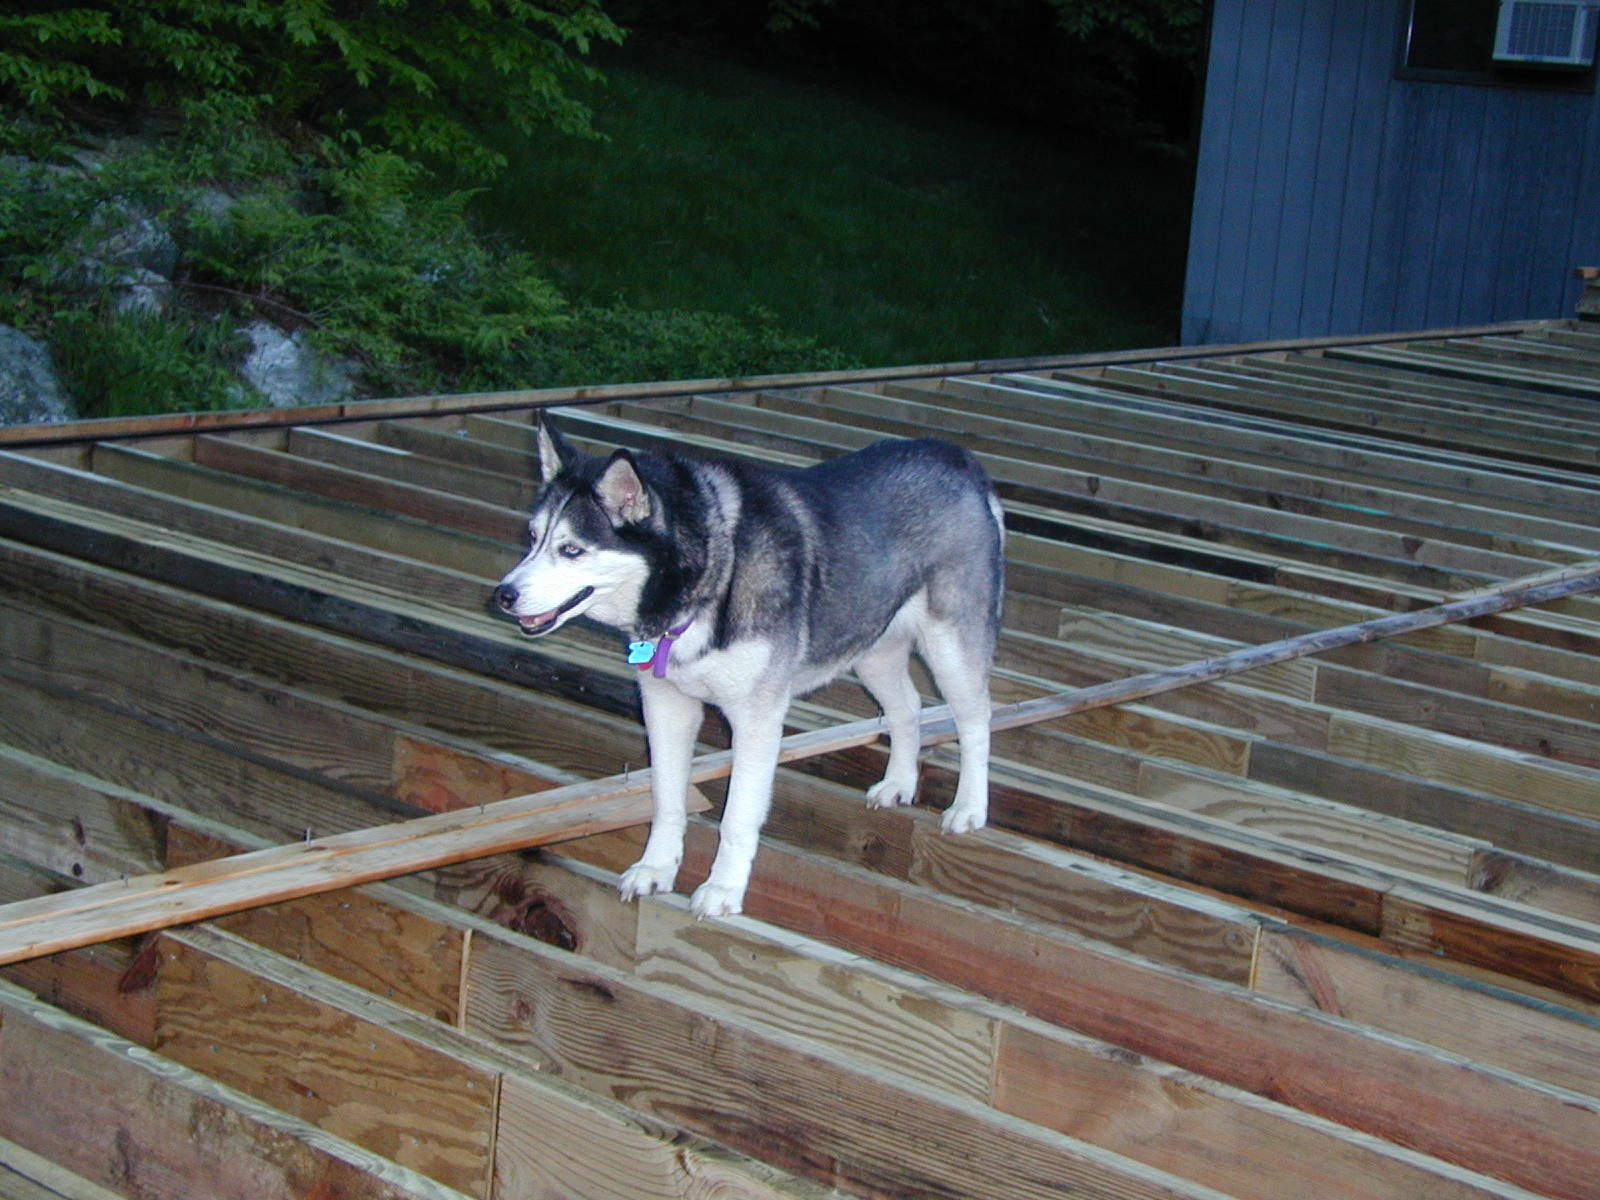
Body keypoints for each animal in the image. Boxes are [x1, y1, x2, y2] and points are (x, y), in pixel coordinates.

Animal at [492, 419, 1004, 915]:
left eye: (572, 549)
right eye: (533, 538)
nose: (503, 594)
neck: (710, 577)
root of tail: (954, 454)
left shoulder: (756, 719)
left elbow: (737, 817)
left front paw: (722, 889)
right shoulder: (665, 707)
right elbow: (666, 799)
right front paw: (656, 867)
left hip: (949, 648)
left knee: (976, 720)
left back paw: (970, 808)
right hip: (871, 648)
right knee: (907, 708)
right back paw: (899, 782)